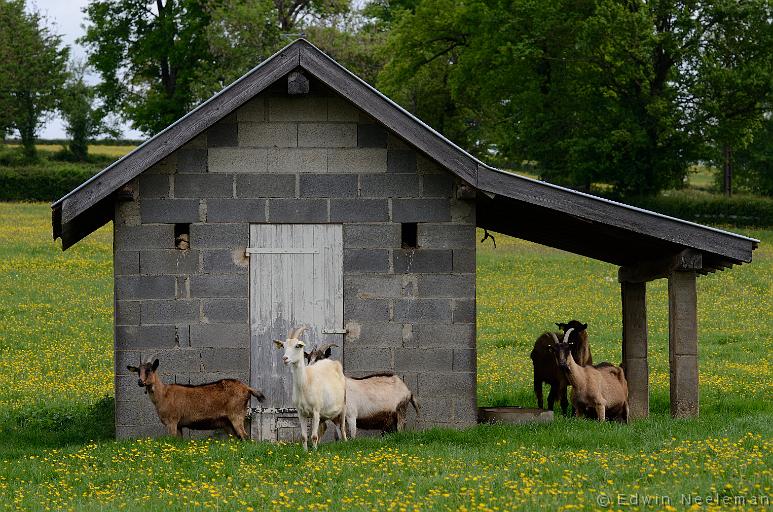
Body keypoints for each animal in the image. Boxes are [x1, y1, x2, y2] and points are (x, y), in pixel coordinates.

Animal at [127, 358, 266, 438]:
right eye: (138, 371)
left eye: (149, 370)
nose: (140, 382)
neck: (163, 394)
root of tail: (247, 388)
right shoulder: (179, 425)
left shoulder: (172, 421)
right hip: (227, 422)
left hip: (236, 414)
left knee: (245, 436)